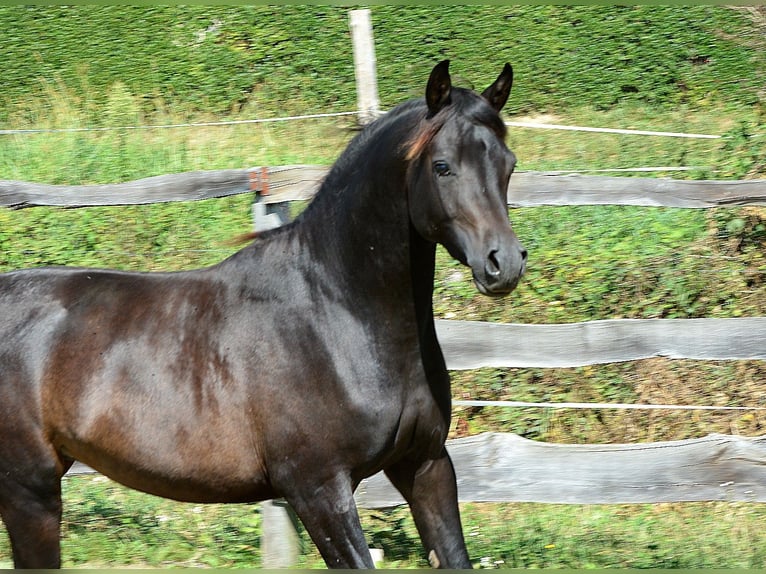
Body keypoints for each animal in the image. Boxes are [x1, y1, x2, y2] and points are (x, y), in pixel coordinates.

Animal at [0, 59, 528, 572]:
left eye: (509, 163)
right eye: (442, 166)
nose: (503, 263)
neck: (338, 318)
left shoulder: (425, 464)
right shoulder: (317, 488)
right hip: (31, 492)